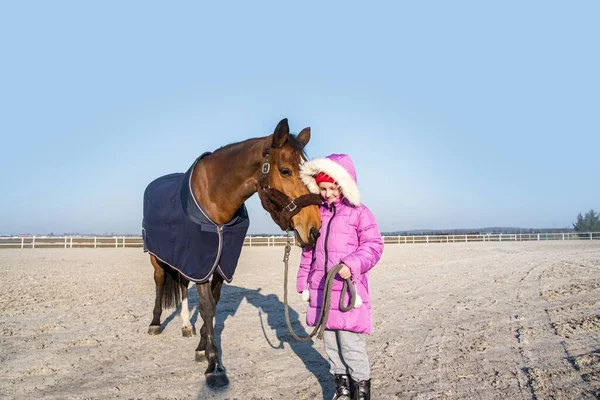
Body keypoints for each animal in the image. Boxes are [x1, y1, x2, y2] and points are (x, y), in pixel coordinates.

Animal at [142, 117, 324, 386]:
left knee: (182, 284)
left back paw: (186, 326)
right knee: (160, 280)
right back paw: (155, 323)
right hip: (157, 256)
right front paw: (213, 363)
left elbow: (214, 304)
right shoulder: (202, 260)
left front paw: (201, 347)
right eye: (285, 171)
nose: (314, 229)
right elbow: (207, 307)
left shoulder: (218, 263)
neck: (216, 198)